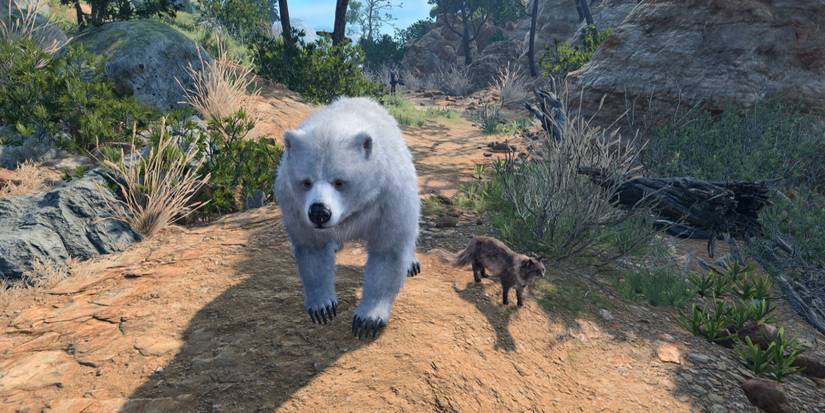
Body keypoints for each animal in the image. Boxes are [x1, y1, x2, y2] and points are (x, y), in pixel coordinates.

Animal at [274, 97, 421, 339]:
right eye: (306, 182)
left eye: (339, 181)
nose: (319, 213)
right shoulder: (294, 205)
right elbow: (312, 249)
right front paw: (322, 308)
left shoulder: (388, 198)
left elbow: (387, 252)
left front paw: (367, 320)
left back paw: (412, 263)